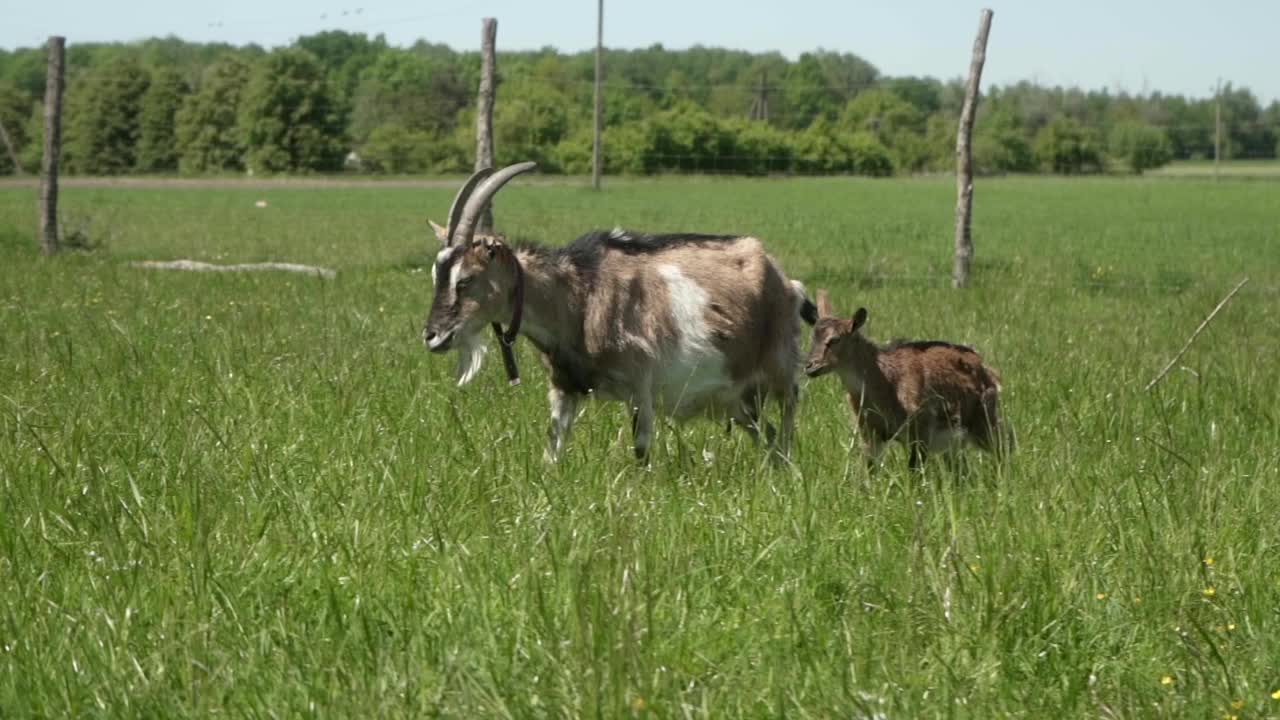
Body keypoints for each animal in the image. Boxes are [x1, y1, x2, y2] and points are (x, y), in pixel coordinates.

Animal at [798, 288, 1008, 468]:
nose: (810, 366)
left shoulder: (920, 427)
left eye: (835, 339)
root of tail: (988, 371)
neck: (884, 382)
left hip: (984, 421)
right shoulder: (869, 431)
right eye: (812, 338)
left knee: (1004, 447)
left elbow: (914, 469)